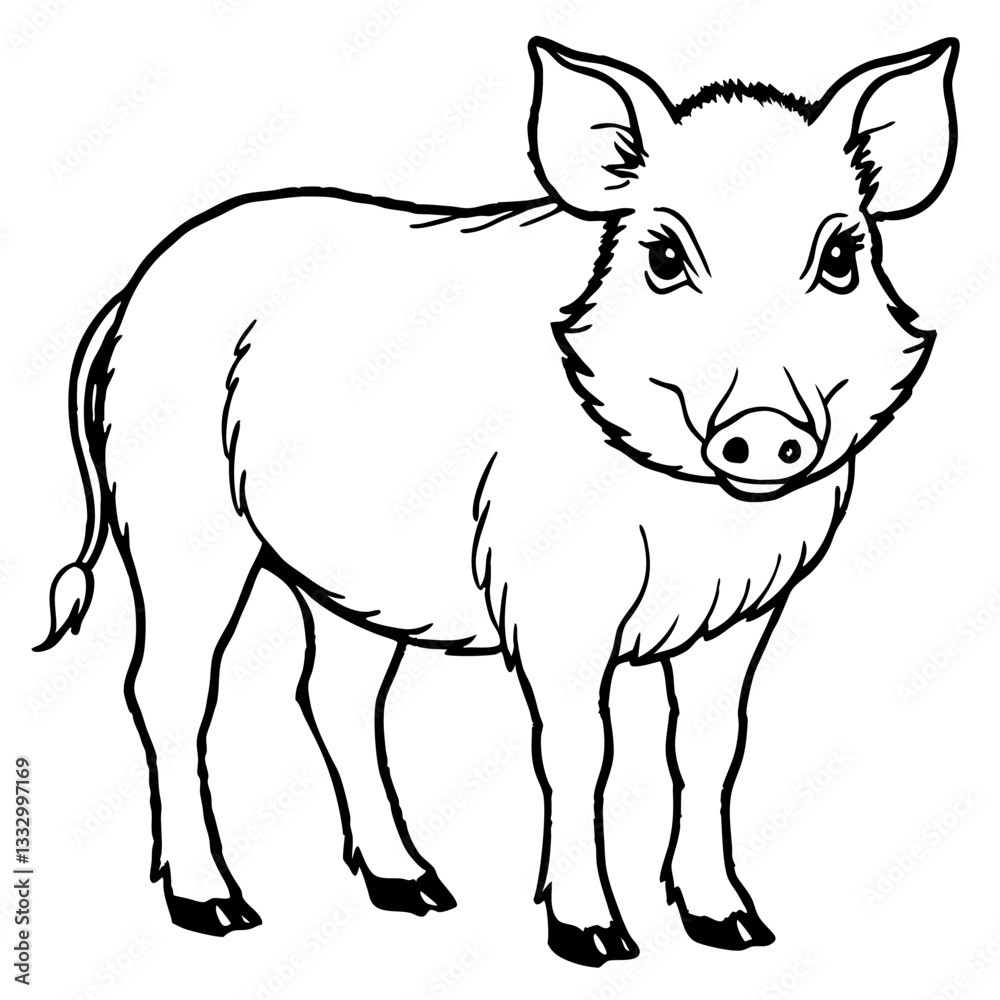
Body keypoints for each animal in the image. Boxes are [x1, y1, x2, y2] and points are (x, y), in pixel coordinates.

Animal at [36, 35, 957, 967]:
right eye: (664, 257)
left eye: (841, 258)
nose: (764, 431)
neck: (694, 513)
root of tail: (135, 288)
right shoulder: (552, 600)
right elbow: (583, 751)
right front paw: (596, 940)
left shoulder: (743, 610)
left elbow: (708, 747)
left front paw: (734, 929)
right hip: (175, 520)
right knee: (168, 688)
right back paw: (219, 908)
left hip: (343, 573)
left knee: (332, 694)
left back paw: (417, 890)